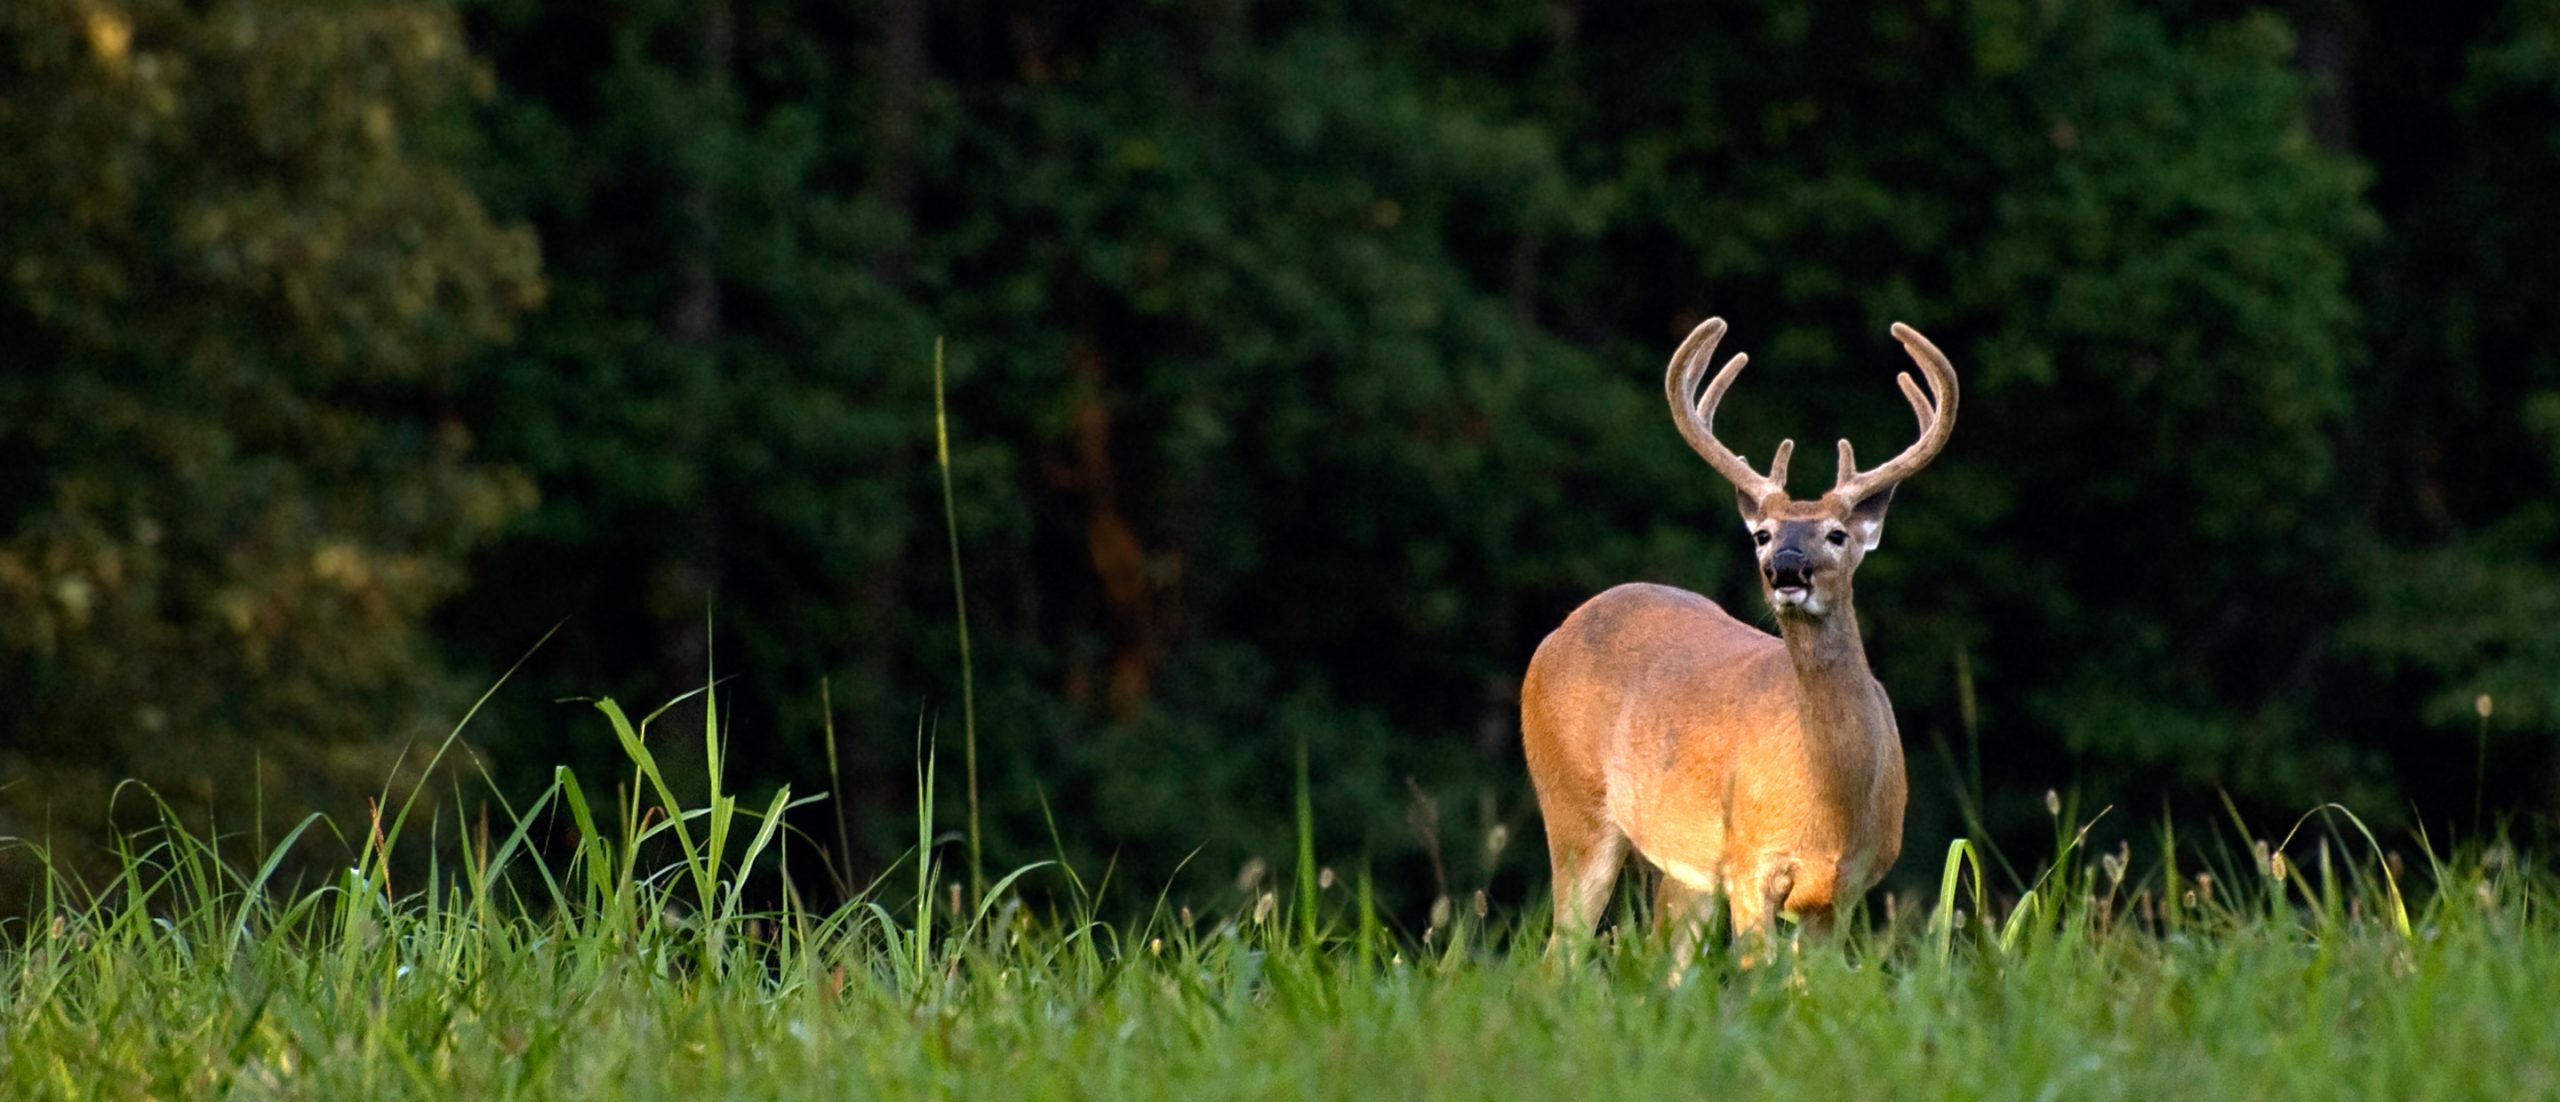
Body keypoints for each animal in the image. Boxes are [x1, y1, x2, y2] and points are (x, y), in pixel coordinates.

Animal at [1515, 313, 1955, 958]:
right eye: (1762, 534)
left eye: (1837, 534)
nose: (1787, 569)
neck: (1831, 806)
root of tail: (1554, 635)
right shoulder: (1752, 863)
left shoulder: (1845, 891)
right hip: (1573, 804)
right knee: (1557, 957)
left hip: (1684, 865)